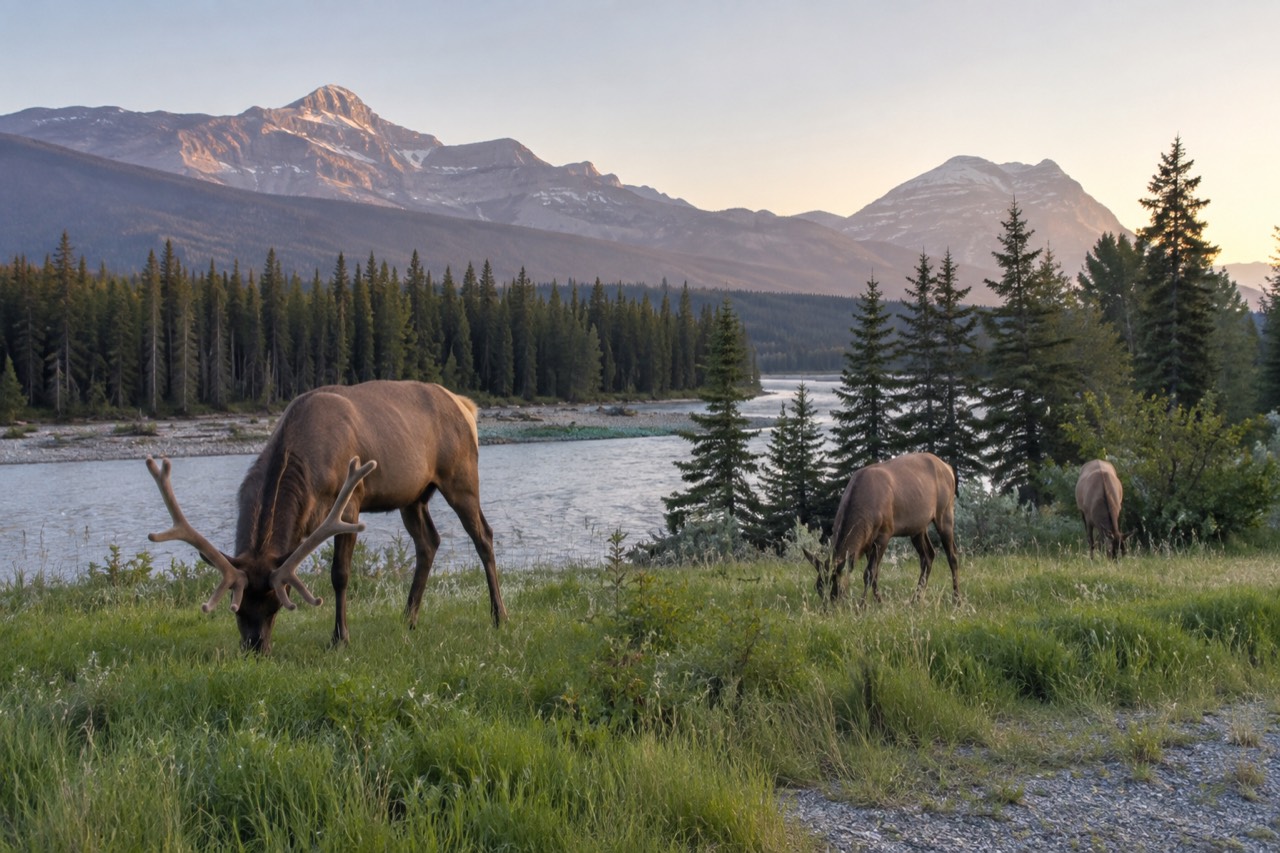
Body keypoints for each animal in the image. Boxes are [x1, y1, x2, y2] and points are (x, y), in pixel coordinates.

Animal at [145, 380, 507, 653]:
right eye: (237, 606)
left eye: (277, 603)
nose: (255, 648)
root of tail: (465, 405)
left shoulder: (349, 504)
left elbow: (340, 575)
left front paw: (340, 638)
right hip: (414, 495)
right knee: (429, 542)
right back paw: (409, 619)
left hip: (460, 476)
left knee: (484, 536)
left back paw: (499, 616)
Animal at [803, 452, 960, 606]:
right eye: (817, 587)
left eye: (839, 589)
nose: (827, 609)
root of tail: (949, 468)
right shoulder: (867, 540)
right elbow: (875, 573)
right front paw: (879, 602)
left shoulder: (885, 533)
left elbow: (869, 573)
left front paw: (862, 606)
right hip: (918, 527)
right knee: (928, 556)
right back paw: (915, 599)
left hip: (945, 512)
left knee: (952, 556)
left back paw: (956, 599)